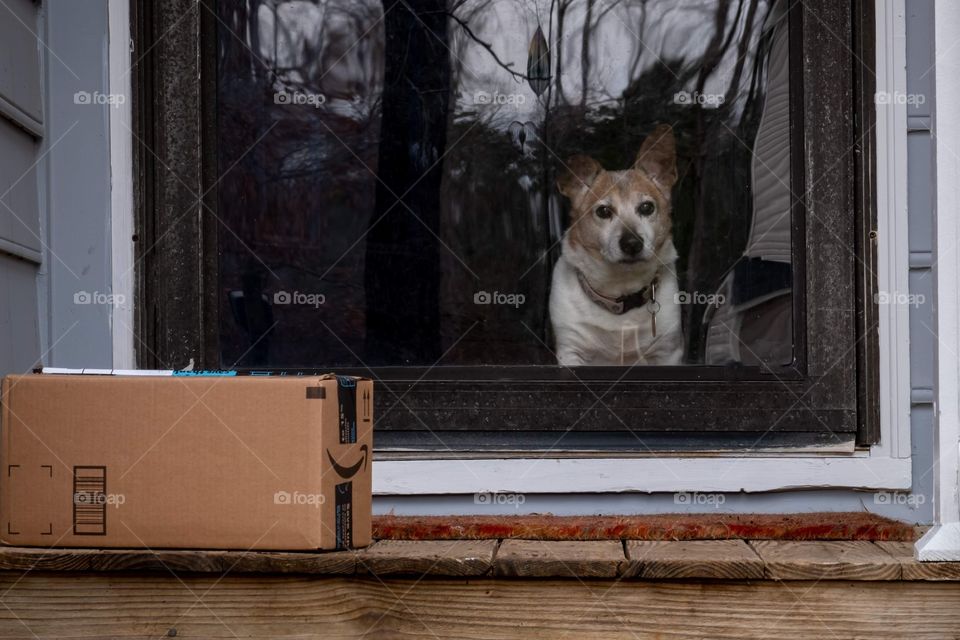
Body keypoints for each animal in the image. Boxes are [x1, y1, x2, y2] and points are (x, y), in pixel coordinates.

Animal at [548, 124, 684, 364]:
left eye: (647, 207)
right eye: (603, 211)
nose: (632, 244)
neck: (620, 288)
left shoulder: (668, 352)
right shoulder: (571, 350)